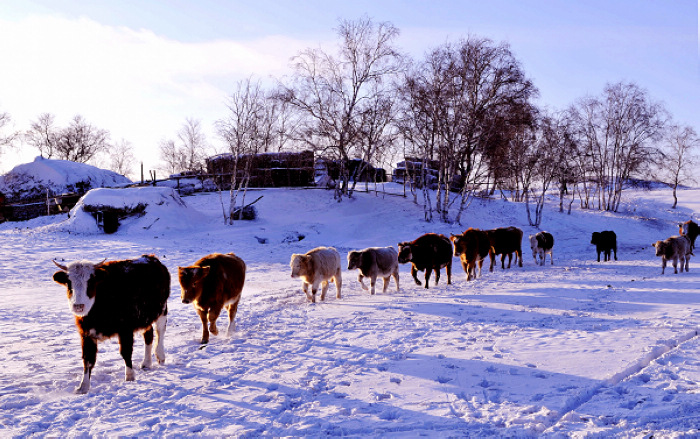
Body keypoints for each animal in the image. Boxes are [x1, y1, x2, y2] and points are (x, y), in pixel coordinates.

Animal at [52, 254, 170, 396]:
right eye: (69, 282)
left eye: (90, 281)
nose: (78, 306)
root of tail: (152, 258)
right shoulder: (86, 334)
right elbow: (88, 360)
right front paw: (83, 387)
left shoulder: (125, 329)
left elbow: (126, 352)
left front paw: (129, 376)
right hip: (145, 317)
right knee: (149, 334)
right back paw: (146, 363)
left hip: (162, 309)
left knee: (160, 331)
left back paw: (160, 356)